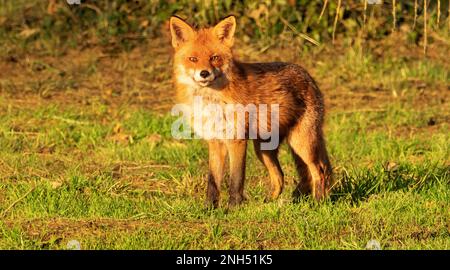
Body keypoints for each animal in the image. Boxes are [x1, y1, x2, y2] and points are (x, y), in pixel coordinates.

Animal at [169, 15, 330, 209]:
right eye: (193, 59)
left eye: (214, 57)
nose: (204, 73)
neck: (211, 100)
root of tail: (308, 75)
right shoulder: (215, 142)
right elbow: (213, 181)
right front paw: (209, 208)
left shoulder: (236, 139)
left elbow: (236, 179)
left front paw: (233, 208)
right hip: (263, 149)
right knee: (281, 177)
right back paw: (268, 204)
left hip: (301, 143)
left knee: (319, 171)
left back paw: (318, 203)